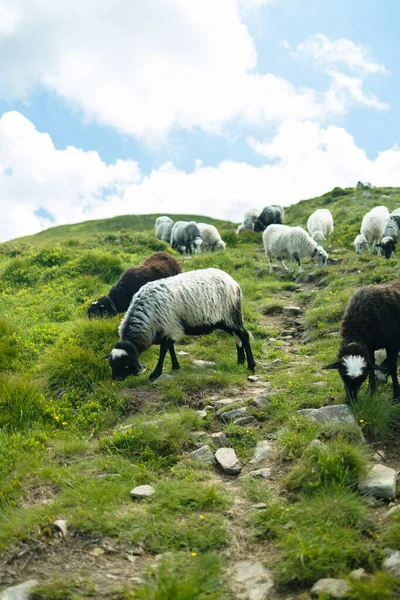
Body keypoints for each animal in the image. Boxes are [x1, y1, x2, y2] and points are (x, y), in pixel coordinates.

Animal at [105, 270, 256, 382]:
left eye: (125, 365)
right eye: (111, 364)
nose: (115, 379)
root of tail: (233, 282)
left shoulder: (170, 327)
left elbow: (163, 350)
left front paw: (155, 373)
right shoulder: (170, 329)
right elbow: (171, 348)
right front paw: (175, 367)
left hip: (231, 315)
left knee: (244, 335)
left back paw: (251, 365)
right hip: (225, 321)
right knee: (237, 337)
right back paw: (240, 361)